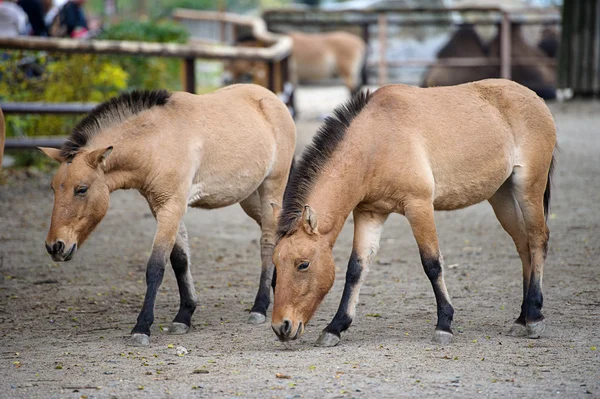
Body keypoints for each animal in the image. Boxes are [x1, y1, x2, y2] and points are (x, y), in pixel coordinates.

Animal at [37, 85, 296, 346]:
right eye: (53, 187)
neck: (157, 141)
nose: (55, 246)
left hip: (271, 190)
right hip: (250, 198)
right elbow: (180, 260)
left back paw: (259, 307)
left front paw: (141, 328)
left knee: (267, 241)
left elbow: (156, 266)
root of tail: (272, 99)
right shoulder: (161, 207)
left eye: (81, 189)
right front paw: (184, 316)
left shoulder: (171, 207)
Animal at [270, 79, 556, 348]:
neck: (376, 141)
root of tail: (535, 99)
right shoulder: (370, 212)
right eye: (275, 263)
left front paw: (444, 324)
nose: (281, 326)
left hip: (528, 188)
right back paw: (521, 318)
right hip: (502, 195)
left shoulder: (418, 206)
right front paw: (334, 328)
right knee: (523, 246)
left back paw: (534, 317)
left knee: (538, 240)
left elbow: (432, 263)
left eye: (303, 264)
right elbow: (356, 268)